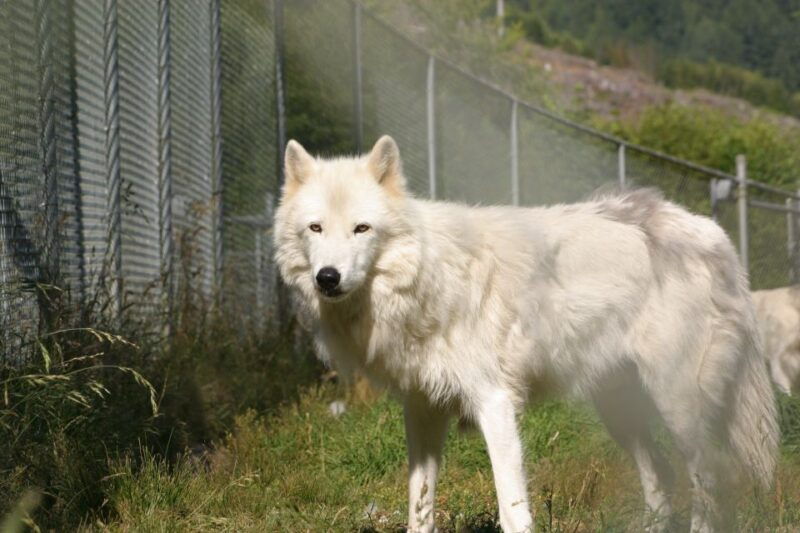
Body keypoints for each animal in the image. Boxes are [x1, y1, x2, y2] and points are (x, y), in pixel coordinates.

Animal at [273, 135, 779, 532]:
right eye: (316, 228)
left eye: (362, 228)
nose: (327, 278)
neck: (426, 276)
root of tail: (713, 234)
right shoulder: (422, 411)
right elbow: (420, 507)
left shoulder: (495, 404)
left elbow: (512, 509)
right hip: (621, 412)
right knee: (661, 476)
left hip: (678, 407)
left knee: (711, 480)